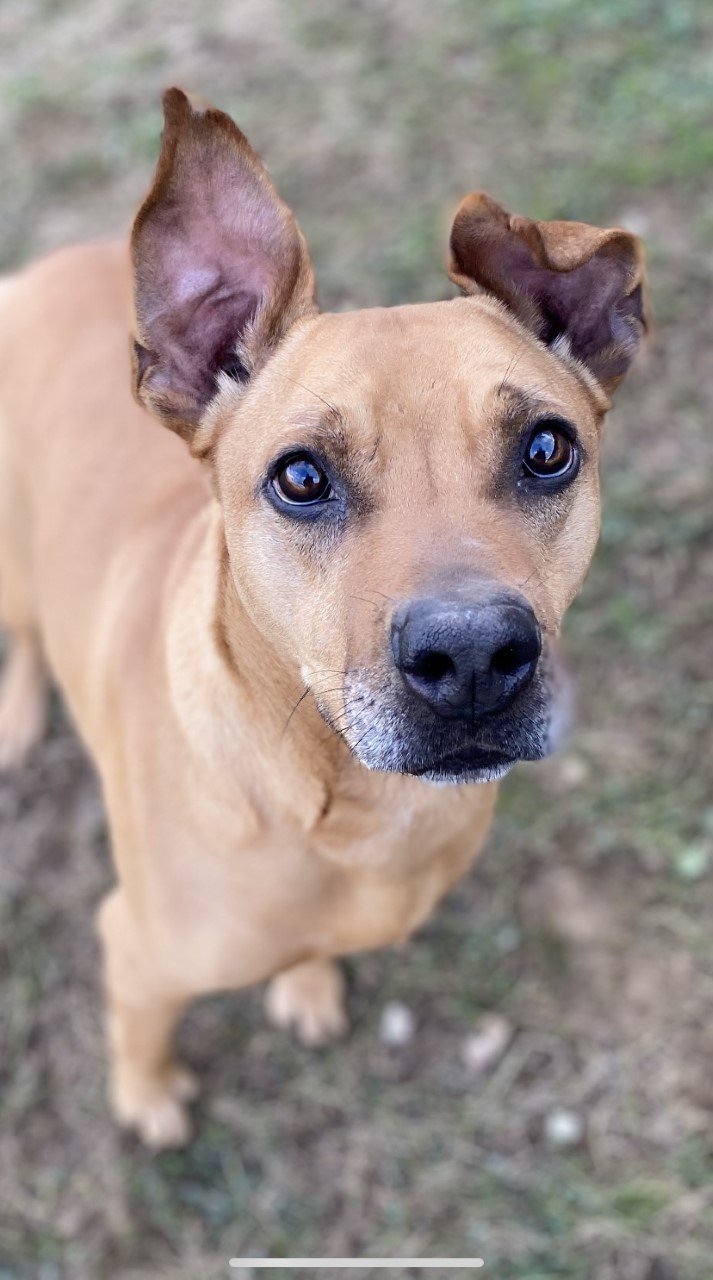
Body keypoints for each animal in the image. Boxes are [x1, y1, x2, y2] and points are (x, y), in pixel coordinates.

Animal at [0, 92, 647, 1152]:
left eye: (547, 448)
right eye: (300, 477)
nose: (473, 656)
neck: (350, 814)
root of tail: (50, 266)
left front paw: (304, 987)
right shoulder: (135, 952)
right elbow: (141, 1034)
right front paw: (148, 1101)